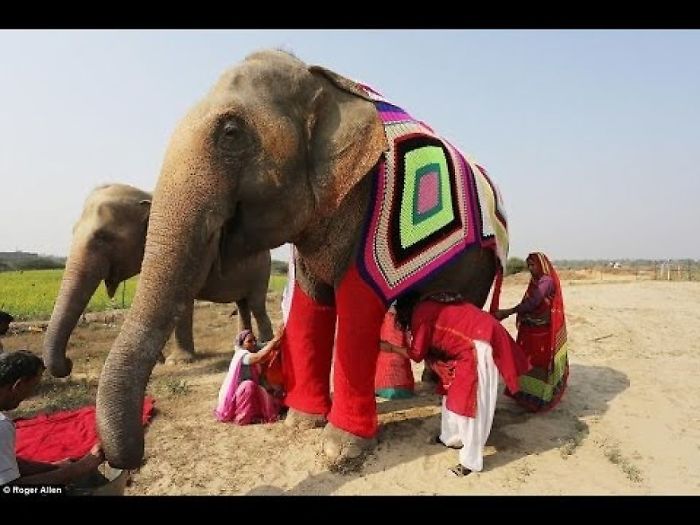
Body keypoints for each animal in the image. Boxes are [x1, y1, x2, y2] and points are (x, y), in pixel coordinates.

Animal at [43, 183, 273, 378]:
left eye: (104, 236)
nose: (69, 363)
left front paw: (177, 361)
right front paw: (160, 361)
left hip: (263, 270)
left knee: (256, 303)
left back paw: (264, 342)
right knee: (242, 304)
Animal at [97, 50, 510, 470]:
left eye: (231, 132)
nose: (124, 461)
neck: (324, 82)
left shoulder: (366, 205)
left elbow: (358, 303)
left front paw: (341, 449)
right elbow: (311, 302)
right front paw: (302, 422)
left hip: (482, 264)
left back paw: (435, 386)